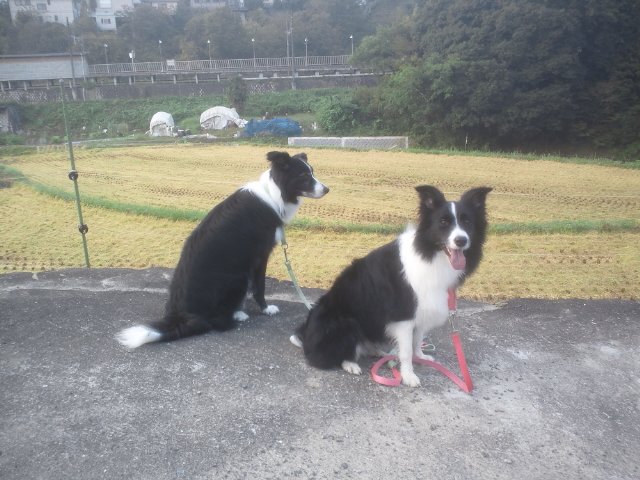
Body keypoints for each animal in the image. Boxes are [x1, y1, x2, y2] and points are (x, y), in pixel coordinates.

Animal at [116, 151, 329, 349]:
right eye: (303, 175)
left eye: (312, 172)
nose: (327, 189)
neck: (274, 193)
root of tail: (184, 316)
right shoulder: (260, 255)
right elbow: (260, 286)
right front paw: (266, 308)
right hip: (238, 277)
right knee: (216, 323)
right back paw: (237, 316)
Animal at [292, 185, 491, 387]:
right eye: (443, 222)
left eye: (467, 221)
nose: (461, 241)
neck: (430, 253)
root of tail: (306, 336)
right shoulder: (404, 316)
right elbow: (407, 351)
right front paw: (408, 375)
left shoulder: (423, 308)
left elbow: (417, 339)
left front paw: (420, 356)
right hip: (346, 322)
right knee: (333, 354)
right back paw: (351, 364)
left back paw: (378, 352)